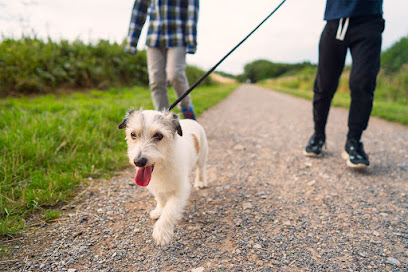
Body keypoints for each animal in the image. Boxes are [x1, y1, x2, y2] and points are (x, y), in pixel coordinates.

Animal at [117, 109, 207, 245]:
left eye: (159, 135)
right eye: (133, 134)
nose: (139, 161)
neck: (163, 165)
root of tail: (191, 120)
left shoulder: (180, 191)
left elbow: (170, 210)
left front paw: (161, 232)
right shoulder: (155, 186)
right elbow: (160, 199)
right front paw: (159, 211)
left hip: (201, 157)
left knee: (201, 169)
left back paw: (200, 182)